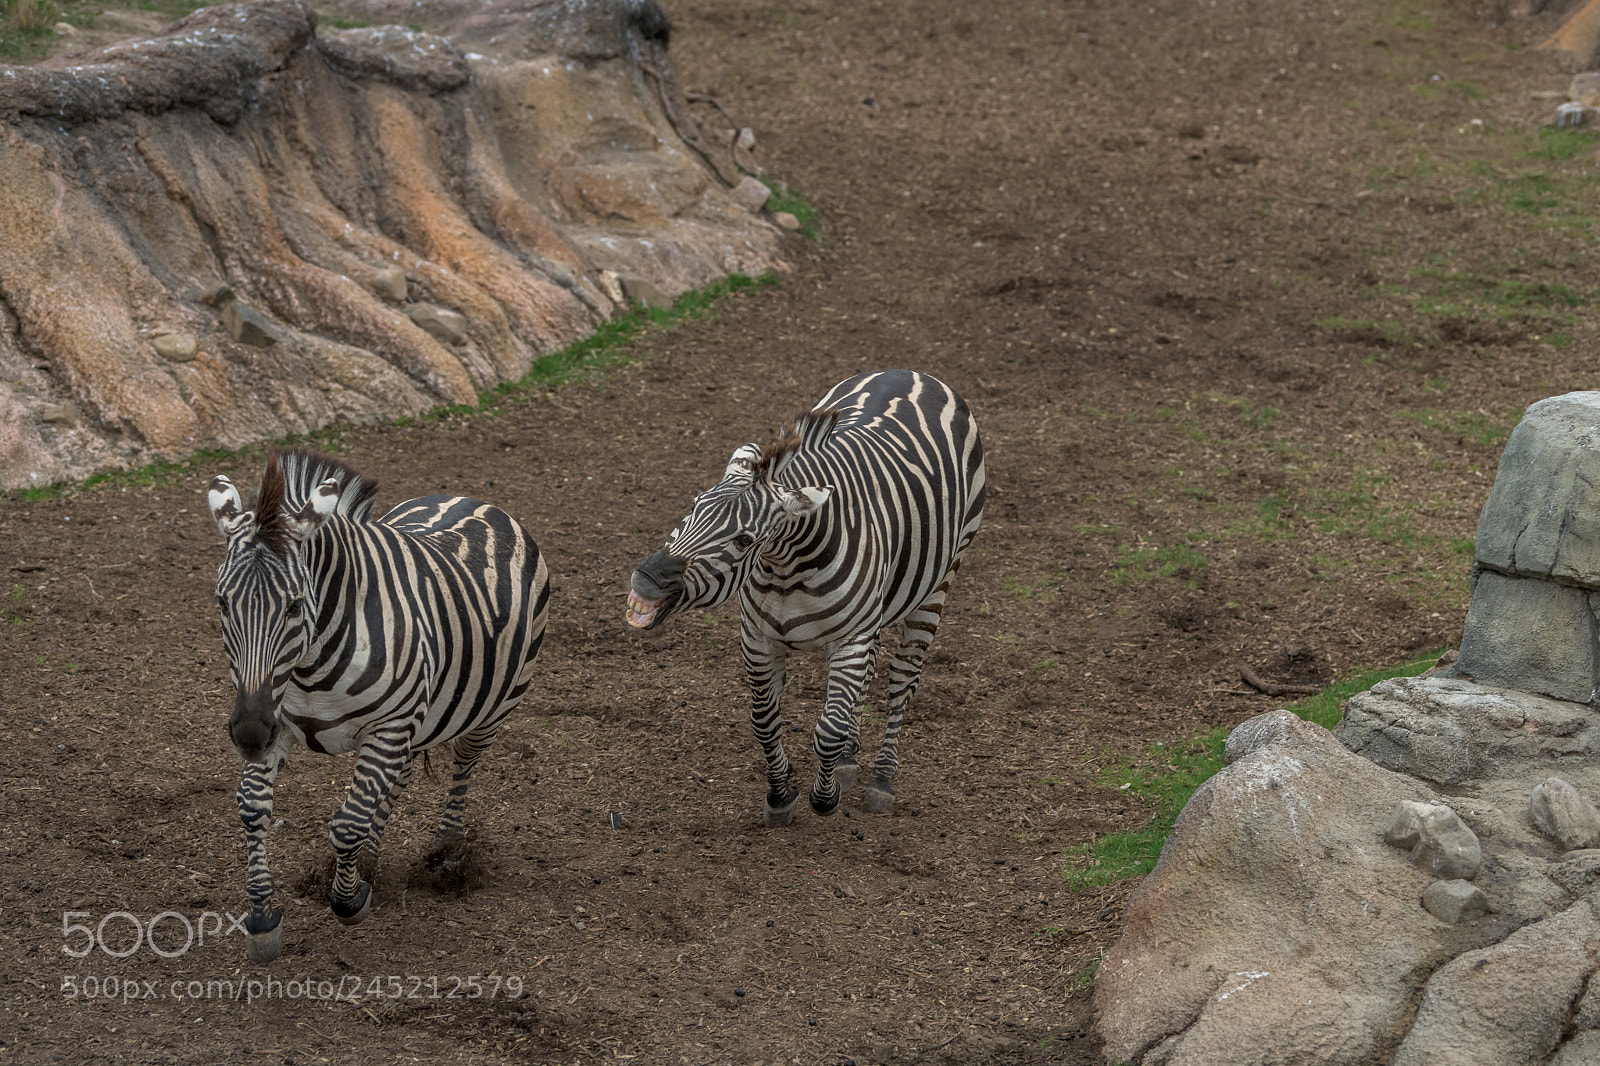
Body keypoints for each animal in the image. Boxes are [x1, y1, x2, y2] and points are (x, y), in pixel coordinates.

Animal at [206, 447, 550, 962]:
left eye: (293, 606)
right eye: (223, 603)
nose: (247, 735)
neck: (309, 664)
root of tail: (477, 501)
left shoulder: (387, 725)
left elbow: (346, 824)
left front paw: (349, 900)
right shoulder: (277, 717)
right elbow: (252, 806)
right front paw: (263, 916)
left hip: (489, 707)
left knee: (463, 764)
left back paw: (446, 853)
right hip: (414, 717)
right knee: (399, 777)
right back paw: (371, 856)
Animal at [626, 369, 985, 826]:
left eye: (744, 540)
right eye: (692, 507)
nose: (646, 581)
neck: (787, 568)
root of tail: (911, 373)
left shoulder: (850, 641)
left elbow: (828, 729)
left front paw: (823, 798)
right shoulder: (758, 640)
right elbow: (765, 721)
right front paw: (780, 795)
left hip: (940, 581)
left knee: (903, 677)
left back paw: (882, 778)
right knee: (871, 670)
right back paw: (850, 759)